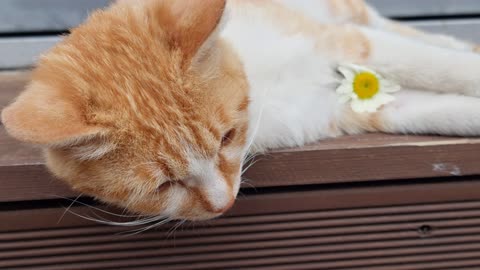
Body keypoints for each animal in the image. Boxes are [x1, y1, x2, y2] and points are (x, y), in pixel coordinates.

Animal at [2, 0, 480, 220]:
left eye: (227, 138)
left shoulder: (346, 45)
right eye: (163, 186)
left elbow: (439, 66)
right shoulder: (344, 107)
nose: (223, 204)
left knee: (406, 33)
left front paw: (465, 65)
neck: (262, 83)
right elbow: (431, 108)